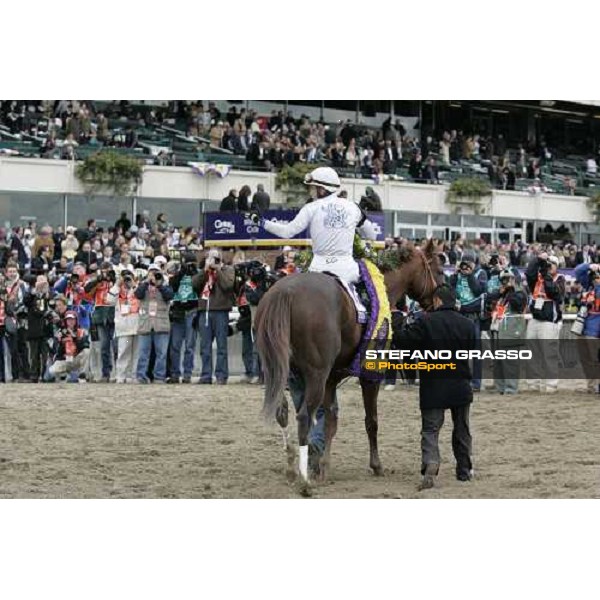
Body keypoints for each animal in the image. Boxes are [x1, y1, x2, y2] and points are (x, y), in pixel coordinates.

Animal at [254, 239, 446, 488]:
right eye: (439, 271)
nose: (437, 303)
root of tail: (285, 291)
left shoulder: (330, 380)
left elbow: (330, 421)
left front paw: (323, 466)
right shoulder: (369, 375)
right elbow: (371, 421)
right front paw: (376, 465)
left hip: (278, 372)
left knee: (283, 412)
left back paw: (291, 468)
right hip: (315, 375)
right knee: (304, 416)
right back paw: (304, 480)